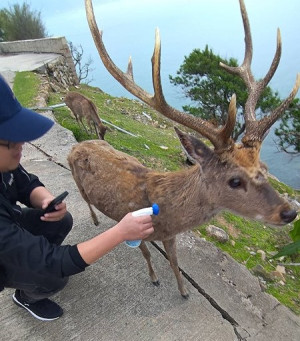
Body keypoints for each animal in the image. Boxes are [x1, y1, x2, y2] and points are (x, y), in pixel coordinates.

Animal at [67, 0, 298, 296]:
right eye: (234, 181)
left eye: (265, 167)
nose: (289, 212)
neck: (166, 214)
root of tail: (80, 144)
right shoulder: (132, 225)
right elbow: (147, 254)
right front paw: (156, 278)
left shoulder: (171, 235)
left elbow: (175, 262)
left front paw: (184, 290)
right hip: (77, 181)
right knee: (85, 200)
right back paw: (96, 220)